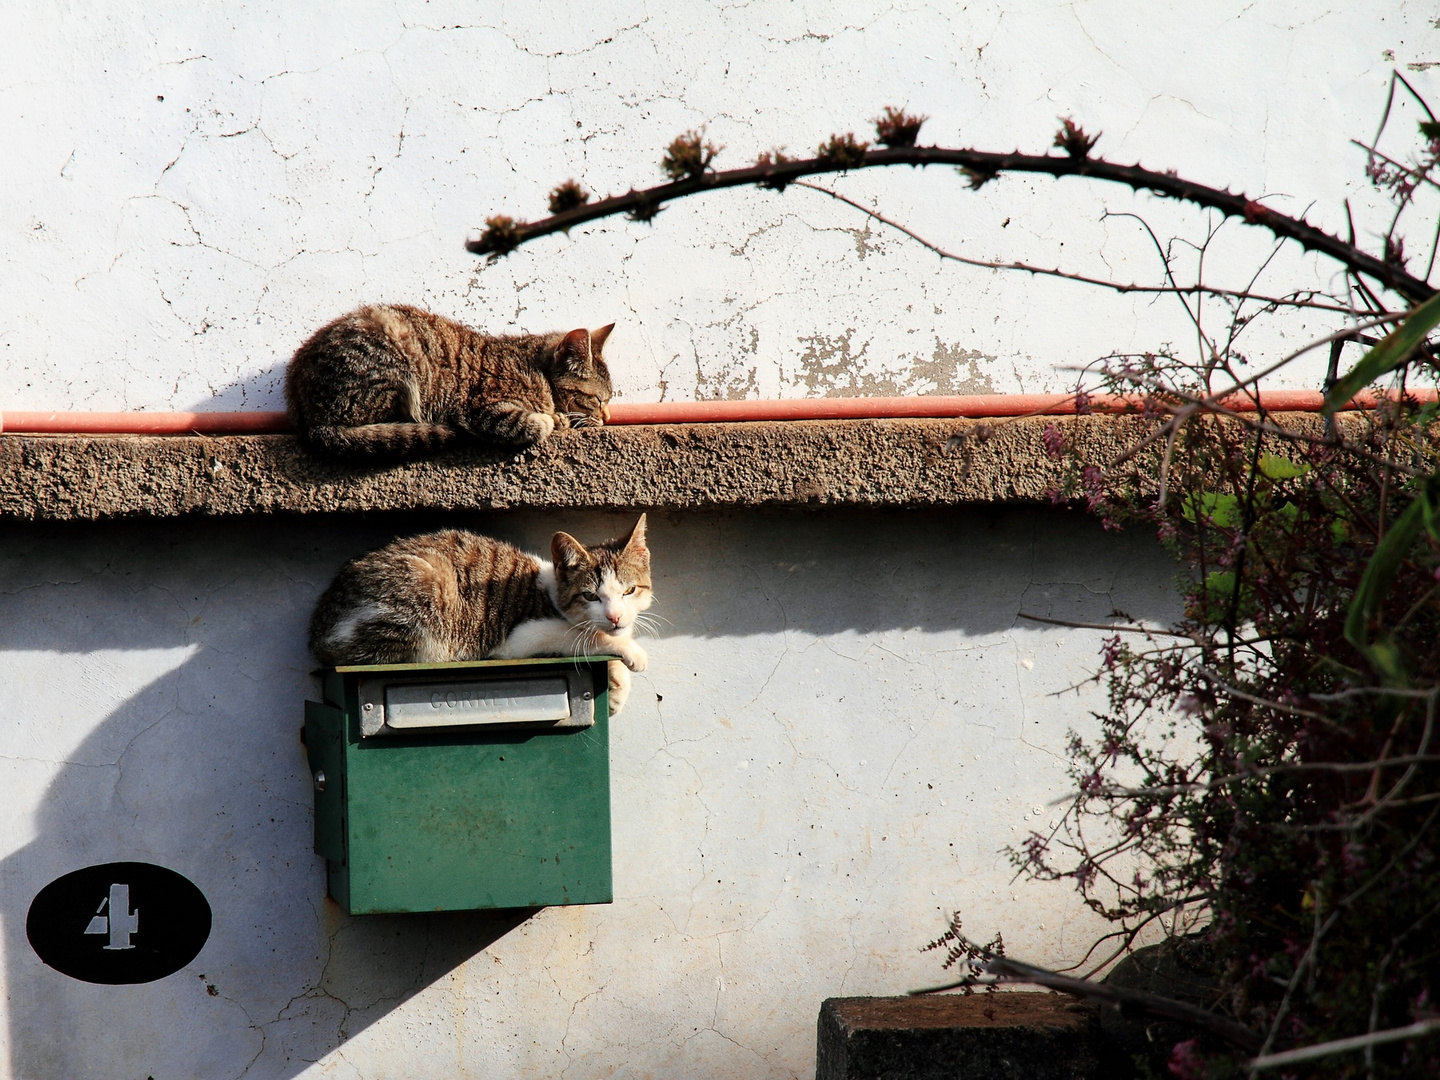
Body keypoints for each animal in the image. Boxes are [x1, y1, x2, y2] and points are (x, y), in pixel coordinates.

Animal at [285, 302, 613, 463]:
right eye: (599, 399)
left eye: (609, 399)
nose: (608, 416)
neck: (537, 373)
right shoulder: (481, 410)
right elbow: (533, 423)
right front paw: (555, 420)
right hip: (396, 366)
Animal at [315, 518, 659, 720]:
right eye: (590, 596)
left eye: (629, 590)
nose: (614, 615)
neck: (551, 592)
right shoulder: (520, 636)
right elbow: (579, 636)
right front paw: (629, 653)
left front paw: (617, 686)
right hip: (429, 585)